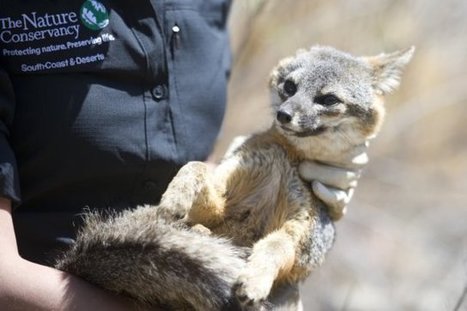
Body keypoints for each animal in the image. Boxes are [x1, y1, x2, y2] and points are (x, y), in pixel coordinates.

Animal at [56, 45, 414, 310]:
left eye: (328, 99)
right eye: (290, 87)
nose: (284, 114)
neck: (286, 160)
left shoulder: (301, 237)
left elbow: (275, 246)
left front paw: (255, 279)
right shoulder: (222, 199)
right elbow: (197, 168)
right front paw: (176, 196)